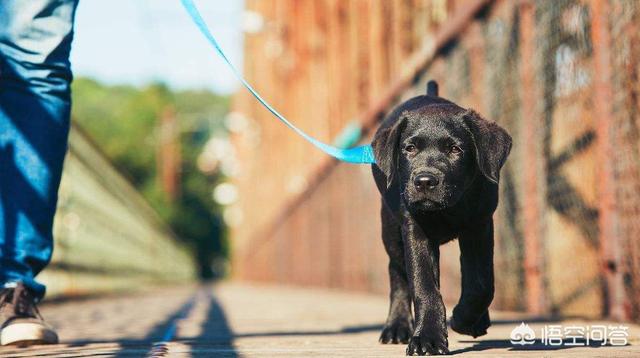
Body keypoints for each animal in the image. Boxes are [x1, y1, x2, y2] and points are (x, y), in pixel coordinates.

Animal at [370, 82, 510, 356]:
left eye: (455, 149)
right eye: (410, 148)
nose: (424, 181)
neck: (448, 209)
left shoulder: (479, 226)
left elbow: (481, 283)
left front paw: (464, 318)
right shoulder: (415, 229)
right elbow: (424, 286)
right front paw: (427, 337)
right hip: (390, 230)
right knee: (397, 273)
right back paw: (396, 327)